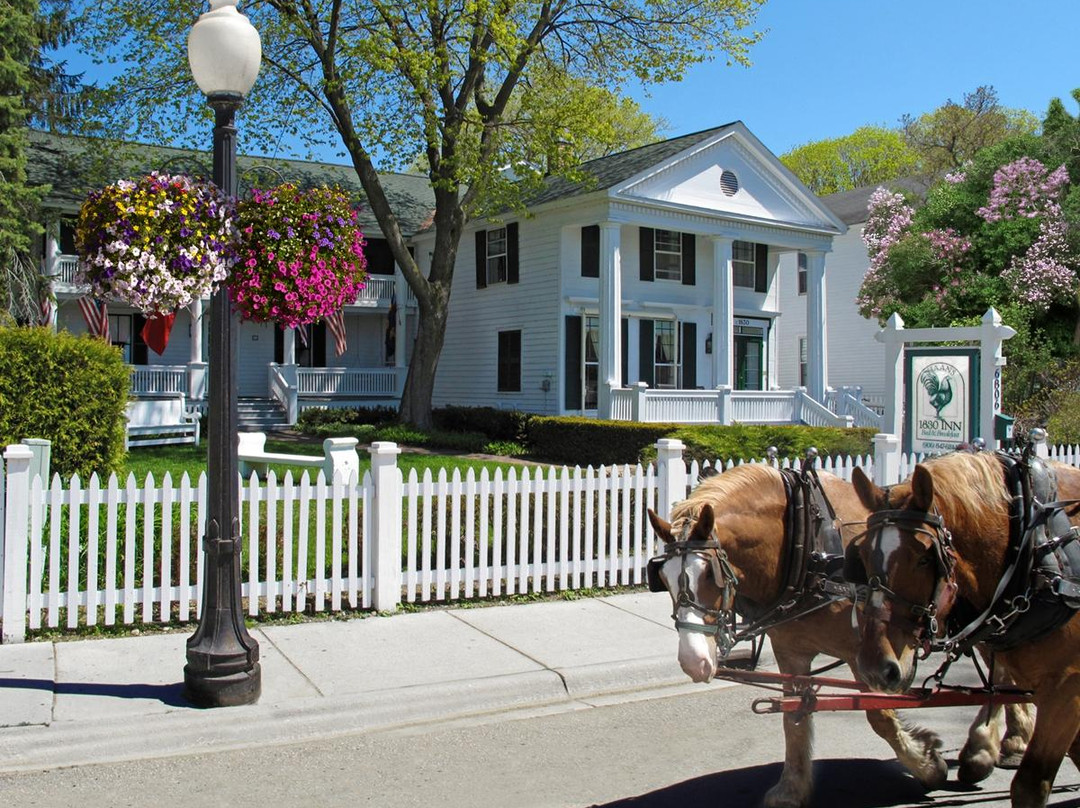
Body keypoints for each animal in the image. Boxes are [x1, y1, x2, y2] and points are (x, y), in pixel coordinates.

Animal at [643, 464, 1023, 808]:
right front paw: (791, 789)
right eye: (663, 577)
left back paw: (988, 749)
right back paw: (1010, 743)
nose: (693, 662)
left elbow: (880, 718)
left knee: (1003, 673)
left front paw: (928, 766)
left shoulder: (866, 654)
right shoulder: (791, 651)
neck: (806, 550)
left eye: (710, 575)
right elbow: (794, 718)